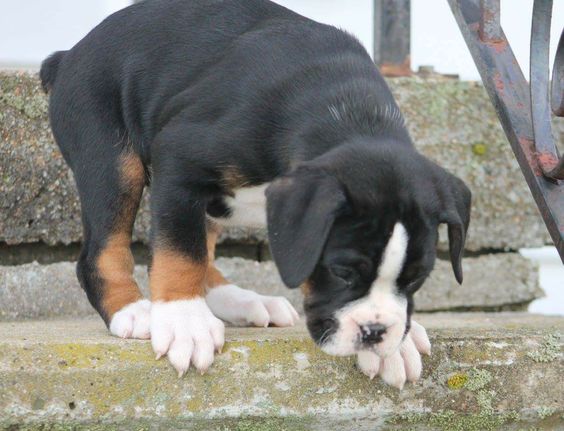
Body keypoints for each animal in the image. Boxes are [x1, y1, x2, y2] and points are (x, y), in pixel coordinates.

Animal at [41, 0, 470, 388]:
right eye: (342, 272)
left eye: (416, 280)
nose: (375, 332)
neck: (348, 115)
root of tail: (67, 56)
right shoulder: (178, 159)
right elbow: (180, 252)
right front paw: (184, 320)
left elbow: (192, 251)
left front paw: (398, 345)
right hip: (112, 160)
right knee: (104, 250)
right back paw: (133, 311)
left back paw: (243, 301)